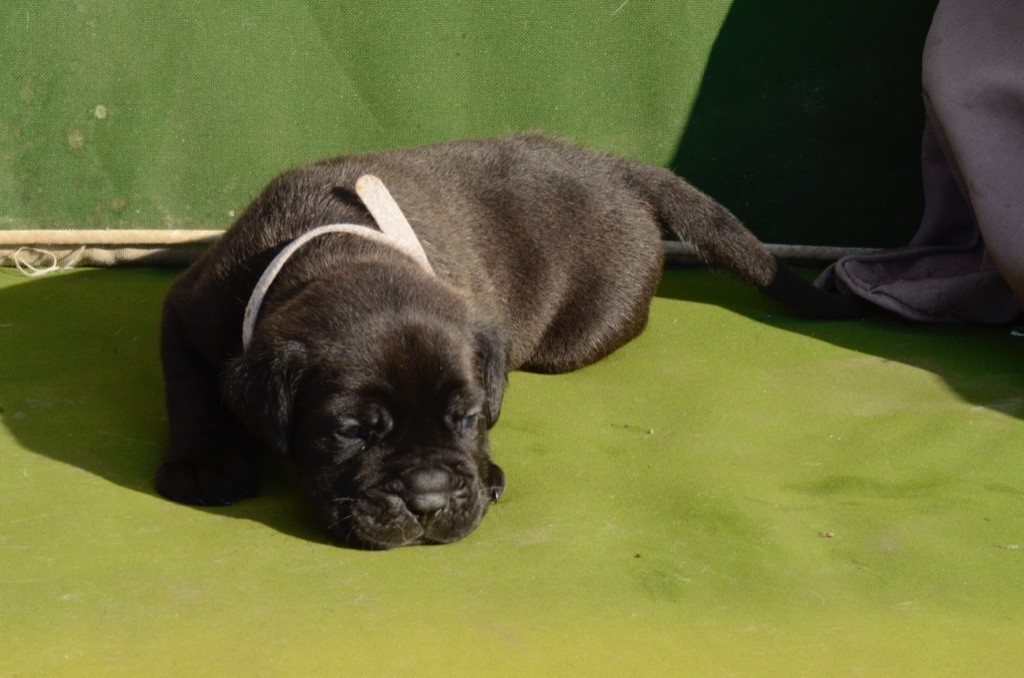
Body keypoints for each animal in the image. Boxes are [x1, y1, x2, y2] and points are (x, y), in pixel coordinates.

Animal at [156, 134, 855, 549]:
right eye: (351, 431)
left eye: (467, 418)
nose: (430, 500)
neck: (337, 245)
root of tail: (616, 166)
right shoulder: (188, 311)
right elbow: (193, 393)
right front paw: (203, 463)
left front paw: (486, 470)